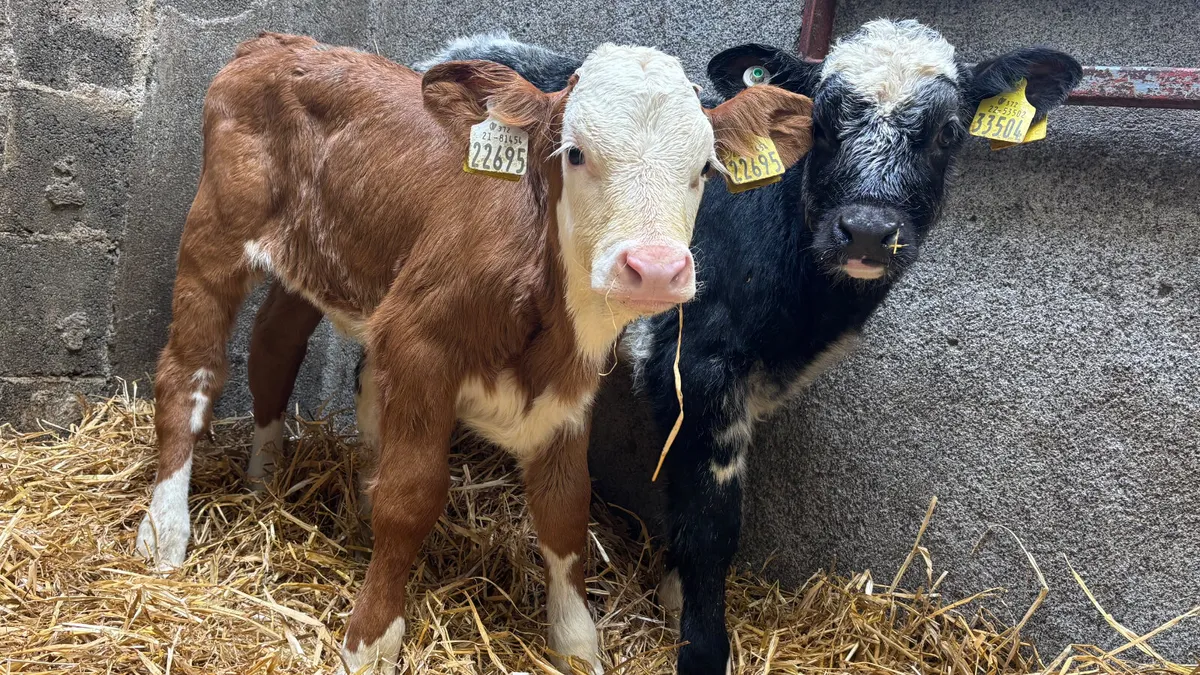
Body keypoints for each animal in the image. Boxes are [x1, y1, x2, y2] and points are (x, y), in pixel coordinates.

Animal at [133, 32, 815, 674]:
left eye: (704, 168)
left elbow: (566, 510)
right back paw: (164, 532)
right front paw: (370, 642)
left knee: (276, 346)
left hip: (314, 259)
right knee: (189, 373)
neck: (546, 317)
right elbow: (410, 498)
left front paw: (578, 644)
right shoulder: (417, 342)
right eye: (575, 152)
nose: (655, 268)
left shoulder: (570, 388)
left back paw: (264, 479)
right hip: (216, 232)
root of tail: (276, 42)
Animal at [420, 19, 1083, 675]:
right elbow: (712, 522)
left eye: (948, 132)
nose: (867, 232)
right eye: (820, 126)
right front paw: (702, 648)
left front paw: (676, 596)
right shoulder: (696, 364)